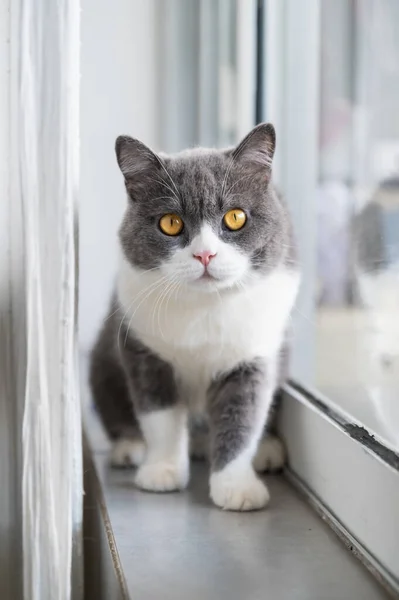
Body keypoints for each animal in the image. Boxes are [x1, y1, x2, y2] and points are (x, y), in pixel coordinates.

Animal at [90, 123, 300, 510]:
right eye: (171, 223)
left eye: (235, 217)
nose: (205, 254)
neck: (204, 306)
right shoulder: (143, 346)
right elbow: (159, 414)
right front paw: (162, 471)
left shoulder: (252, 354)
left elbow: (243, 415)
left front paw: (236, 487)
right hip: (103, 359)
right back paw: (130, 447)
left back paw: (266, 450)